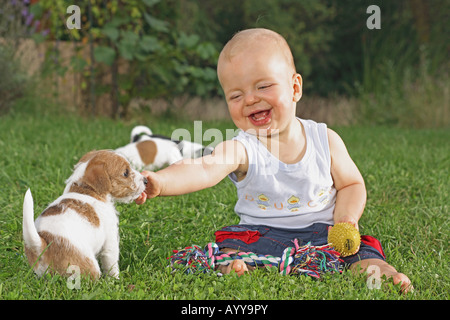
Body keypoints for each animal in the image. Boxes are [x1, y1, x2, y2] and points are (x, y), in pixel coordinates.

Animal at [22, 150, 147, 280]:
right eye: (125, 173)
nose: (146, 181)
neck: (86, 190)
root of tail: (42, 245)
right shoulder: (110, 239)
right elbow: (111, 264)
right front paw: (115, 280)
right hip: (89, 266)